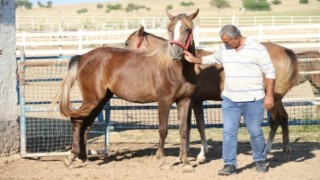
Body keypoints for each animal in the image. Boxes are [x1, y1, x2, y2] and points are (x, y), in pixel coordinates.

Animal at [56, 8, 199, 172]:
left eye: (187, 29)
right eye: (170, 29)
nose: (175, 53)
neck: (175, 69)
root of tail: (83, 57)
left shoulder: (185, 101)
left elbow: (184, 130)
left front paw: (186, 163)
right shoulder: (164, 100)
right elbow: (163, 130)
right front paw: (162, 160)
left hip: (101, 100)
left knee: (86, 125)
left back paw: (83, 158)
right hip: (91, 99)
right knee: (77, 121)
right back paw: (71, 157)